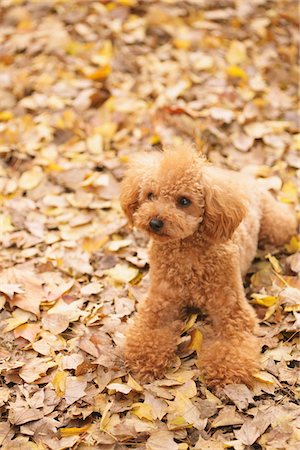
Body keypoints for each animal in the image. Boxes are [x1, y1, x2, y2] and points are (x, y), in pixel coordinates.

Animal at [120, 146, 298, 388]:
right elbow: (150, 329)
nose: (154, 222)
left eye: (184, 201)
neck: (187, 254)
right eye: (150, 195)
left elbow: (232, 340)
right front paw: (145, 358)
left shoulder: (231, 307)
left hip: (276, 227)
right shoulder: (160, 301)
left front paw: (226, 370)